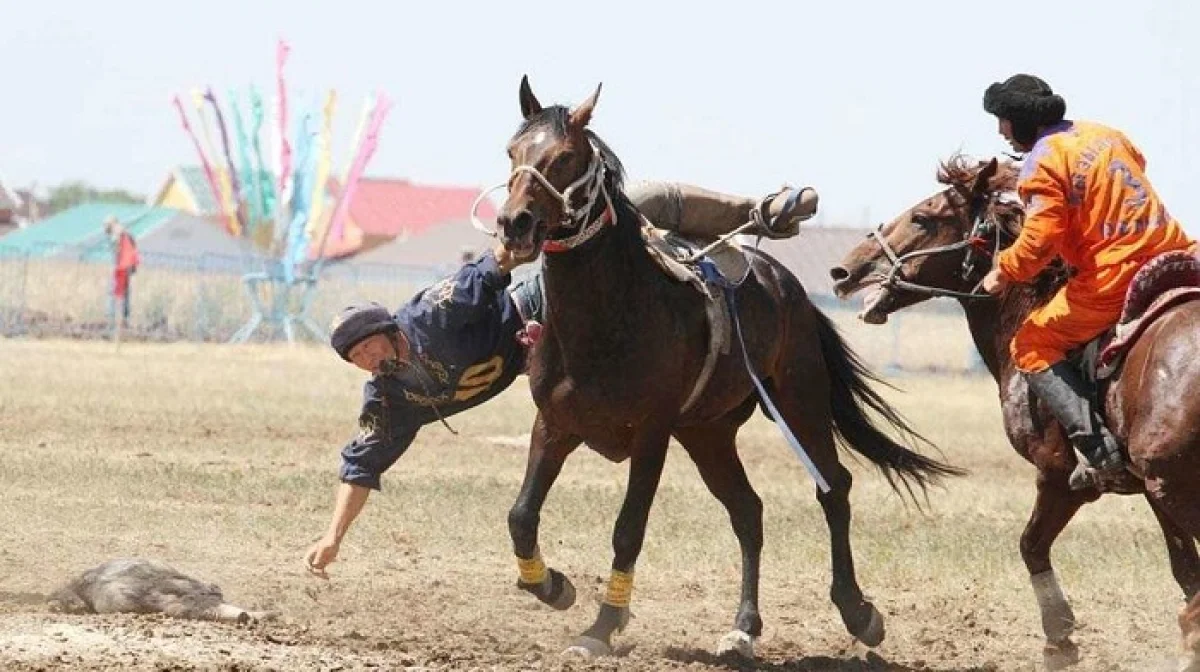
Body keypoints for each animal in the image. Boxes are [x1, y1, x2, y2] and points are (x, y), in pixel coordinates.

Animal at [487, 76, 964, 657]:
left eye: (564, 157)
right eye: (513, 151)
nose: (514, 223)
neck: (610, 313)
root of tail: (786, 285)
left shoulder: (651, 435)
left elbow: (628, 528)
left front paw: (602, 625)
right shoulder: (554, 425)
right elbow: (521, 515)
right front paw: (554, 586)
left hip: (798, 402)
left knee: (834, 488)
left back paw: (858, 613)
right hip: (707, 434)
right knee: (748, 511)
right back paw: (743, 626)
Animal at [830, 154, 1200, 667]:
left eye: (923, 217)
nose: (844, 271)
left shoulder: (1061, 476)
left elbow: (1031, 544)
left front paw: (1059, 637)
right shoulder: (1148, 490)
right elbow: (1185, 569)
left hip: (1173, 485)